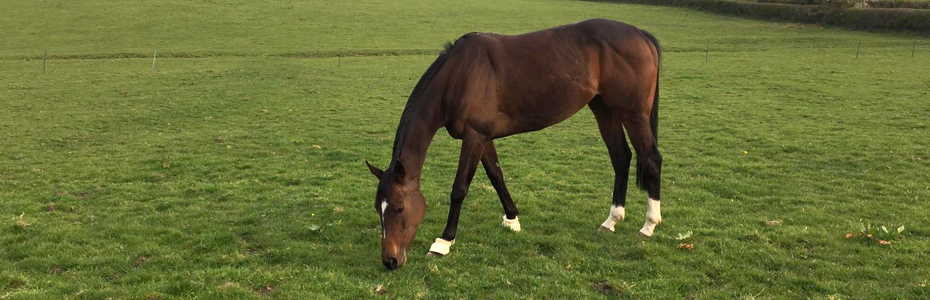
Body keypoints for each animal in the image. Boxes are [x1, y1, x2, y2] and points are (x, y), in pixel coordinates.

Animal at [362, 18, 660, 270]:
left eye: (400, 208)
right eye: (378, 208)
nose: (390, 260)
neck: (461, 73)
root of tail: (640, 34)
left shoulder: (474, 136)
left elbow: (459, 189)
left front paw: (443, 242)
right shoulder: (483, 137)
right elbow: (496, 175)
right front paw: (512, 219)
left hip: (633, 113)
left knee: (651, 159)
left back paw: (649, 226)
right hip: (604, 109)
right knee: (621, 158)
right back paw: (612, 220)